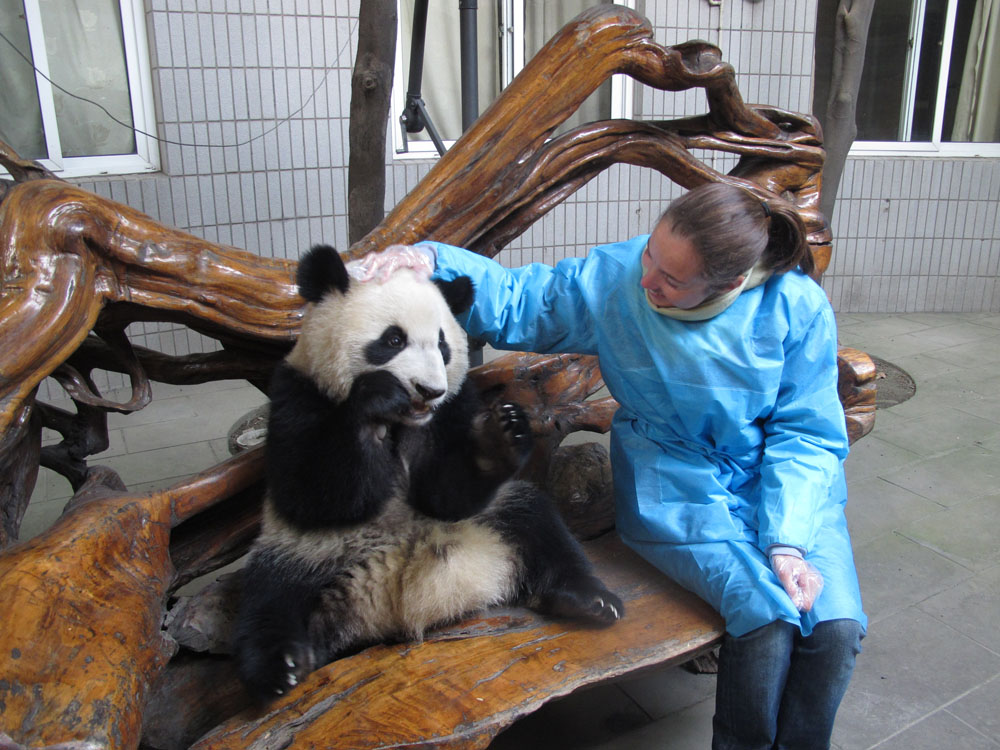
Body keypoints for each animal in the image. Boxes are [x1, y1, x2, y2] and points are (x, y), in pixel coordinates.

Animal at [235, 244, 624, 704]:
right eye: (393, 340)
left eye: (443, 345)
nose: (428, 391)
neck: (404, 422)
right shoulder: (298, 393)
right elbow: (315, 493)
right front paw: (374, 399)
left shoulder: (453, 408)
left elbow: (445, 494)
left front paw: (500, 438)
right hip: (309, 551)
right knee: (268, 595)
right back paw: (284, 666)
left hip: (490, 519)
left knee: (538, 522)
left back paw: (588, 600)